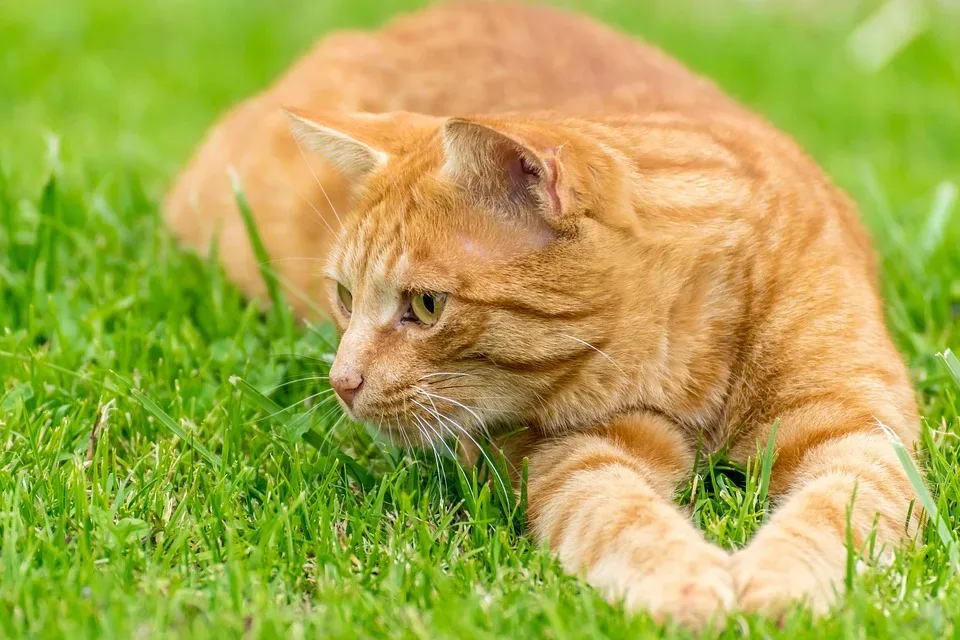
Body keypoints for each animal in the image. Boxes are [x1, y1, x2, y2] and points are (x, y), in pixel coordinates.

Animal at [165, 0, 924, 632]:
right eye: (345, 297)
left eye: (426, 305)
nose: (340, 383)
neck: (696, 342)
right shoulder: (576, 451)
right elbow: (619, 516)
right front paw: (686, 583)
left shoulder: (856, 424)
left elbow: (838, 513)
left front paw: (778, 586)